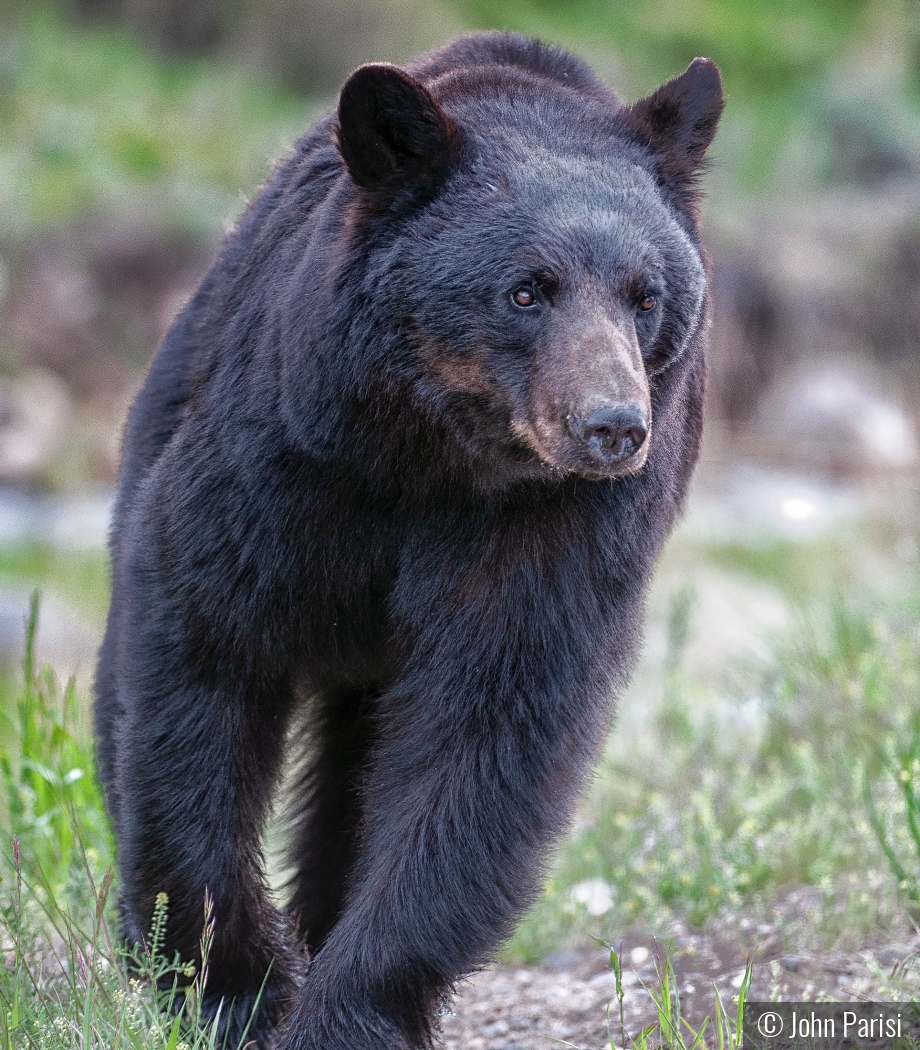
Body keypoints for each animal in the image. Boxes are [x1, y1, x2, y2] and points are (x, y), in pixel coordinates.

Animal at [95, 30, 726, 1050]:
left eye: (644, 295)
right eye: (527, 289)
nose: (612, 426)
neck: (433, 454)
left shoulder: (553, 529)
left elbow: (487, 735)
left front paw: (343, 1008)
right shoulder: (288, 459)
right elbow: (203, 649)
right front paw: (228, 987)